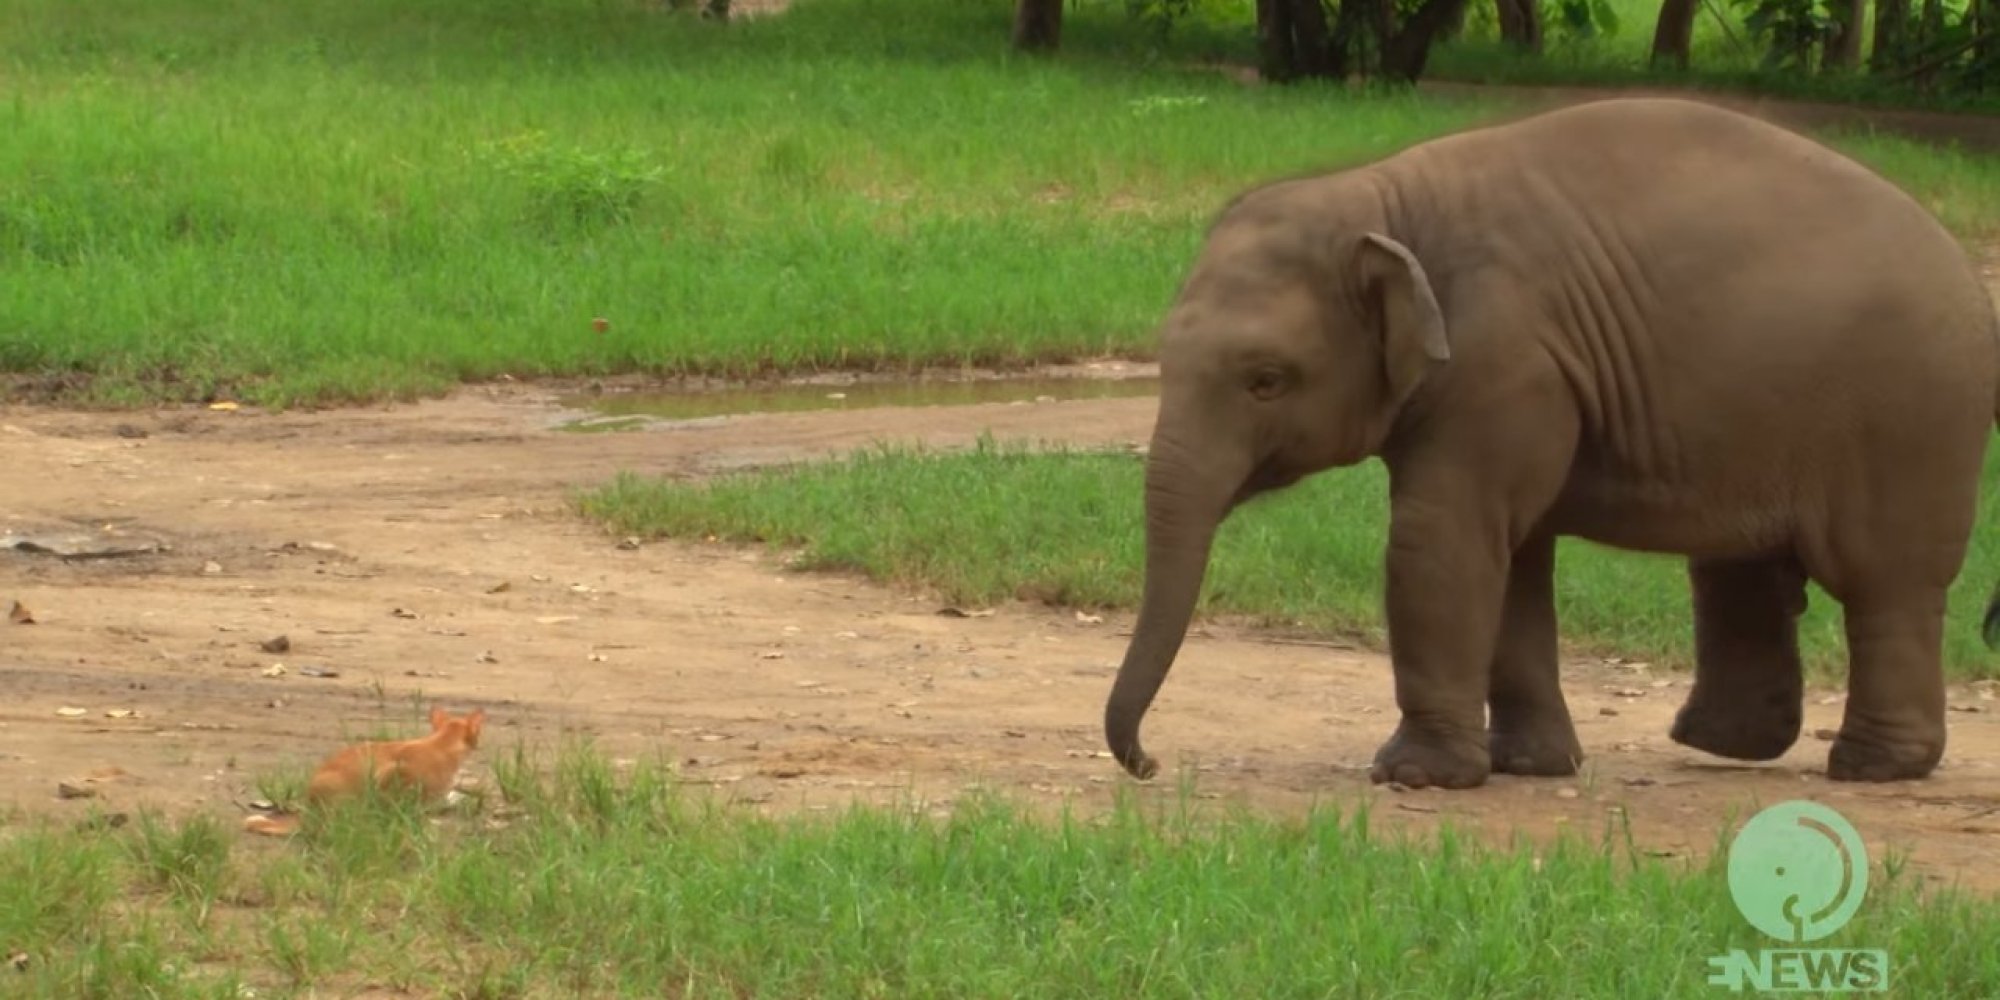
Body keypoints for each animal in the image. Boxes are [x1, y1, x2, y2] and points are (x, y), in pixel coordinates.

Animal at [1103, 96, 2000, 791]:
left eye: (1266, 380)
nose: (1150, 764)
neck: (1383, 196)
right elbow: (1513, 556)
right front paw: (1528, 766)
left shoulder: (1505, 361)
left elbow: (1443, 541)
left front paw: (1416, 776)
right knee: (1743, 569)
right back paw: (1722, 745)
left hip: (1910, 419)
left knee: (1884, 580)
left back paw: (1873, 768)